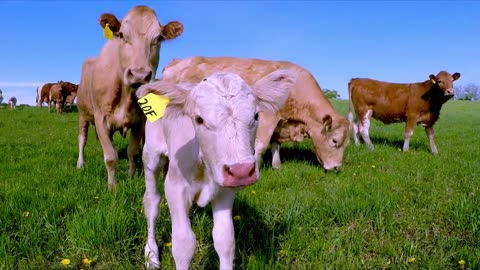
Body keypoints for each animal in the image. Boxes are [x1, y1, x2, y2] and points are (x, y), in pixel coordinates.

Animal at [76, 4, 183, 190]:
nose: (139, 75)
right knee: (82, 139)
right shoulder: (100, 118)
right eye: (122, 35)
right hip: (83, 114)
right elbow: (110, 156)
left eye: (159, 38)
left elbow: (132, 151)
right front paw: (112, 186)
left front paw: (131, 177)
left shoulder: (140, 121)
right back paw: (80, 164)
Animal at [136, 70, 296, 268]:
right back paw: (151, 255)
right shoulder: (175, 188)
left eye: (256, 116)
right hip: (151, 156)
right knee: (152, 202)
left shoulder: (225, 191)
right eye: (199, 119)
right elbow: (183, 244)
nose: (242, 171)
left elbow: (225, 240)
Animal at [159, 56, 350, 171]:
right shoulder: (267, 117)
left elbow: (275, 145)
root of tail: (176, 62)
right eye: (334, 141)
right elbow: (261, 145)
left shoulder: (279, 123)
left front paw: (276, 165)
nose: (337, 168)